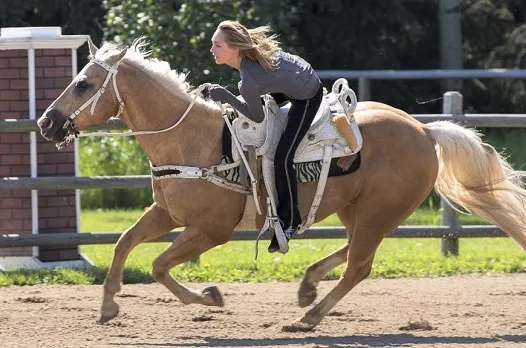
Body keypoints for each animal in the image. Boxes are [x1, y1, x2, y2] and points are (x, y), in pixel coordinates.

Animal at [37, 38, 526, 332]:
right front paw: (108, 307)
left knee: (359, 265)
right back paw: (308, 285)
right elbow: (124, 242)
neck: (191, 140)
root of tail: (425, 131)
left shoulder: (211, 231)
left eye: (83, 84)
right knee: (352, 251)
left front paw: (209, 297)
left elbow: (158, 266)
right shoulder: (166, 214)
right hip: (359, 210)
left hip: (377, 213)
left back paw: (309, 316)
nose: (46, 122)